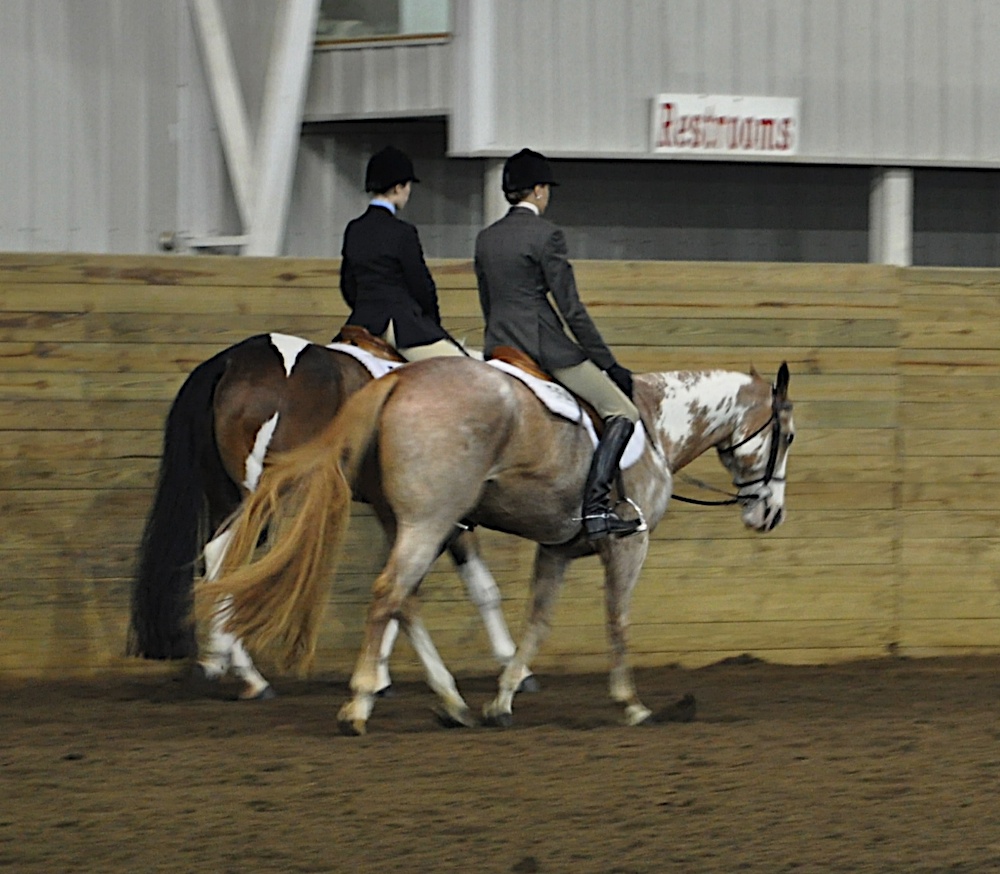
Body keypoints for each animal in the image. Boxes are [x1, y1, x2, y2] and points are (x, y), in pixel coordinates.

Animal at [127, 332, 527, 700]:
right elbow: (467, 587)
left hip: (226, 493)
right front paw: (515, 669)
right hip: (264, 493)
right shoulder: (443, 517)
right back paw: (243, 671)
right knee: (229, 559)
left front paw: (378, 676)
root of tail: (230, 361)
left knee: (218, 558)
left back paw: (234, 668)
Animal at [197, 356, 794, 733]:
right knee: (390, 592)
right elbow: (618, 619)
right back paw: (360, 702)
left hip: (413, 522)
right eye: (786, 436)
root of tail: (397, 382)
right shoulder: (630, 546)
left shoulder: (556, 547)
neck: (655, 426)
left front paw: (502, 700)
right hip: (431, 520)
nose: (770, 514)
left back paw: (451, 702)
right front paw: (632, 705)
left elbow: (537, 623)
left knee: (403, 600)